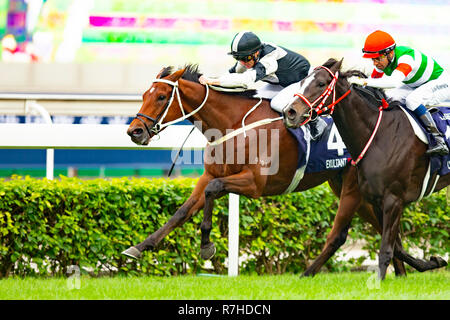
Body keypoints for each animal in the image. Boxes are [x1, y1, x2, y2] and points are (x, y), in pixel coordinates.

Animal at [122, 63, 414, 276]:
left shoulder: (254, 184)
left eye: (161, 97)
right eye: (144, 95)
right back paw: (404, 271)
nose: (134, 131)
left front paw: (206, 246)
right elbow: (182, 212)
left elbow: (213, 192)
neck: (233, 124)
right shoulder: (210, 175)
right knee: (387, 228)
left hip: (354, 186)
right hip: (347, 186)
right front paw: (138, 247)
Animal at [284, 58, 448, 278]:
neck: (379, 136)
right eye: (302, 82)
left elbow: (386, 249)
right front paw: (434, 261)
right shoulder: (377, 200)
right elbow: (397, 247)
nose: (290, 113)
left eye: (320, 83)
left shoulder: (393, 200)